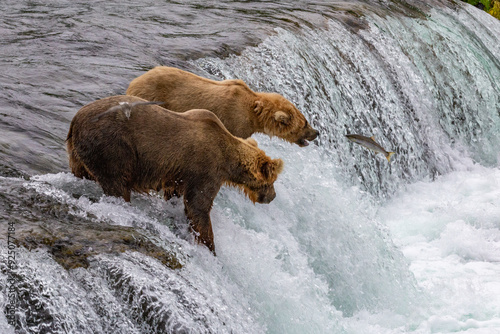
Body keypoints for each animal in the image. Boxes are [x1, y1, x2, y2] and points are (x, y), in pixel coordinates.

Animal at [66, 95, 284, 254]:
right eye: (272, 181)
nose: (273, 196)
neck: (228, 158)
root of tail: (74, 121)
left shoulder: (180, 175)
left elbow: (177, 195)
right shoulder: (206, 168)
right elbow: (198, 206)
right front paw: (210, 247)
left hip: (80, 155)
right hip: (113, 147)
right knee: (117, 183)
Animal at [126, 66, 320, 146]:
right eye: (304, 124)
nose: (316, 132)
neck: (255, 116)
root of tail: (136, 80)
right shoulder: (234, 120)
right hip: (151, 94)